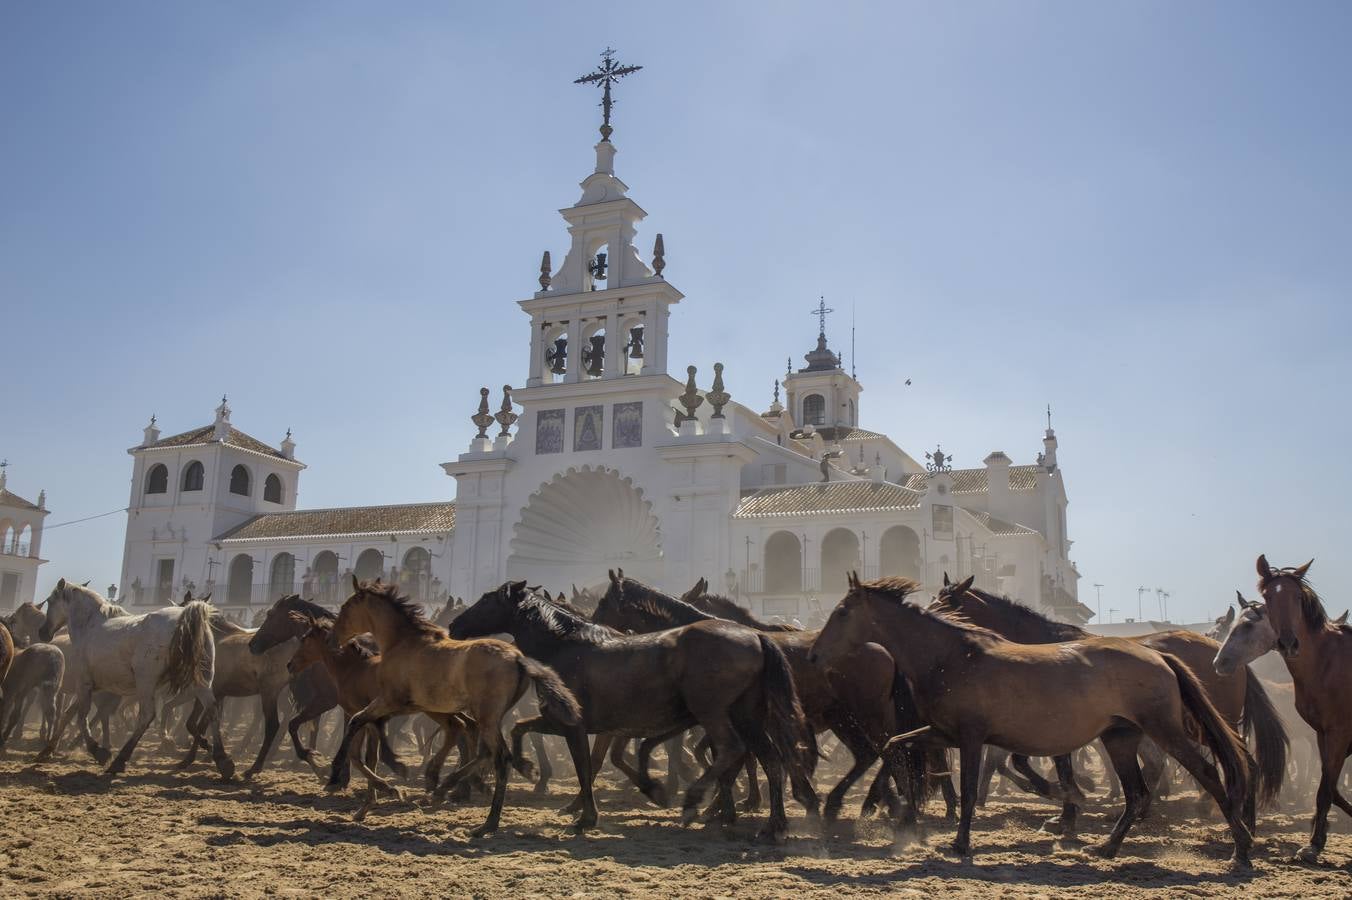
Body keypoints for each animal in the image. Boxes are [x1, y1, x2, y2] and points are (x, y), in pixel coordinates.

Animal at [34, 578, 235, 772]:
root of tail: (187, 616)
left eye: (50, 601)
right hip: (202, 681)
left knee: (147, 715)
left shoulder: (83, 683)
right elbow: (69, 715)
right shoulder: (91, 686)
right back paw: (222, 759)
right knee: (212, 709)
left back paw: (120, 759)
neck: (90, 626)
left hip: (147, 682)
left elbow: (81, 718)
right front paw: (47, 751)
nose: (43, 632)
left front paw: (98, 751)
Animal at [331, 575, 586, 832]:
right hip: (490, 716)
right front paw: (427, 776)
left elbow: (357, 722)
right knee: (485, 751)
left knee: (500, 757)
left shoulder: (391, 700)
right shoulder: (423, 706)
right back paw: (454, 787)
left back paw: (488, 822)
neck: (402, 643)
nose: (333, 636)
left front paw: (344, 774)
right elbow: (451, 731)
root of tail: (518, 658)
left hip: (486, 716)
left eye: (346, 607)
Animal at [805, 575, 1249, 864]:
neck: (952, 657)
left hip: (1165, 729)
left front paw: (960, 842)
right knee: (1137, 791)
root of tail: (1161, 657)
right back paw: (1107, 846)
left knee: (1208, 774)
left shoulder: (972, 737)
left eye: (841, 613)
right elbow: (897, 746)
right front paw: (902, 813)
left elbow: (972, 788)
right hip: (1120, 738)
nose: (812, 654)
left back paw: (1241, 847)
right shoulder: (943, 733)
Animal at [1254, 551, 1352, 859]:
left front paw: (1313, 844)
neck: (1326, 661)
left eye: (1298, 597)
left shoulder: (1339, 732)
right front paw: (1317, 837)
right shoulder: (1321, 733)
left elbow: (1326, 788)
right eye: (1268, 597)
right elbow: (1329, 787)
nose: (1288, 643)